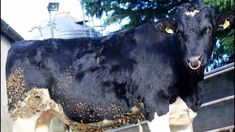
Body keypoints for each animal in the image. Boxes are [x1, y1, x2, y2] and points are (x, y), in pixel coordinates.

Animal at [5, 0, 233, 131]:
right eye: (179, 32)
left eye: (209, 29)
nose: (194, 60)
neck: (189, 89)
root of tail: (21, 44)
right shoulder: (155, 107)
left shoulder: (182, 115)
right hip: (22, 115)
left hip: (43, 115)